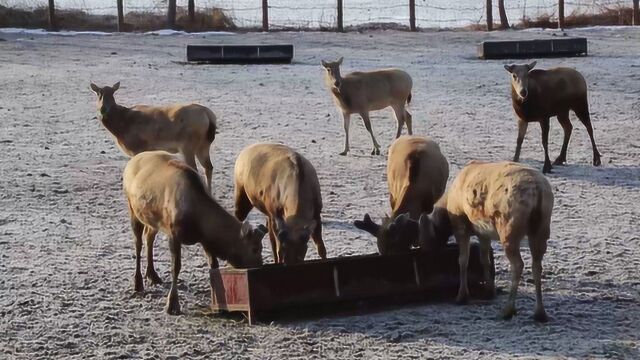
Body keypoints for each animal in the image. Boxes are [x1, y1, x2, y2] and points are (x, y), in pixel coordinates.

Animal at [89, 80, 218, 190]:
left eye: (112, 93)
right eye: (99, 93)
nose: (103, 109)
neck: (121, 129)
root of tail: (209, 115)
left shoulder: (137, 147)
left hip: (187, 145)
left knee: (196, 169)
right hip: (204, 144)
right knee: (208, 167)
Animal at [124, 150, 266, 314]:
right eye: (254, 248)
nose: (260, 266)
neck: (199, 220)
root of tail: (131, 162)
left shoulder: (204, 239)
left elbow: (213, 265)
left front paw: (218, 302)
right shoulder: (173, 233)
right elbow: (176, 267)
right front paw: (172, 304)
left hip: (152, 218)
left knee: (149, 236)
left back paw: (152, 275)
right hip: (133, 209)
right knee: (138, 243)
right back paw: (138, 283)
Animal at [418, 162, 552, 322]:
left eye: (424, 235)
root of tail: (538, 191)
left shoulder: (461, 225)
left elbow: (463, 260)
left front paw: (462, 296)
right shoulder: (483, 233)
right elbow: (485, 260)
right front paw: (489, 291)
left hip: (509, 229)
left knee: (518, 264)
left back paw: (508, 310)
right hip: (541, 229)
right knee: (537, 265)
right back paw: (540, 313)